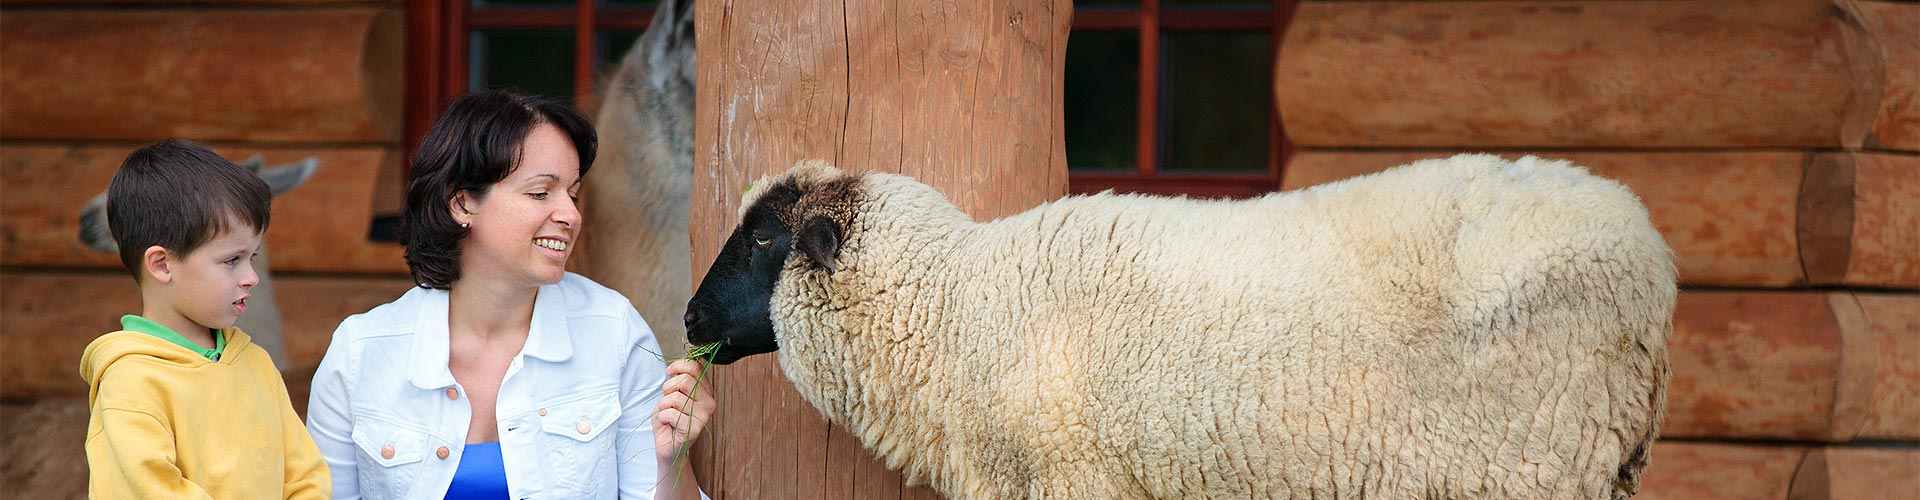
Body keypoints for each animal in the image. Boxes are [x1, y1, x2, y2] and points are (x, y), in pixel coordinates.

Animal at [683, 153, 1674, 496]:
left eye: (764, 236)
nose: (689, 315)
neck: (961, 306)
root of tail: (1654, 257)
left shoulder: (1071, 481)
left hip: (1529, 462)